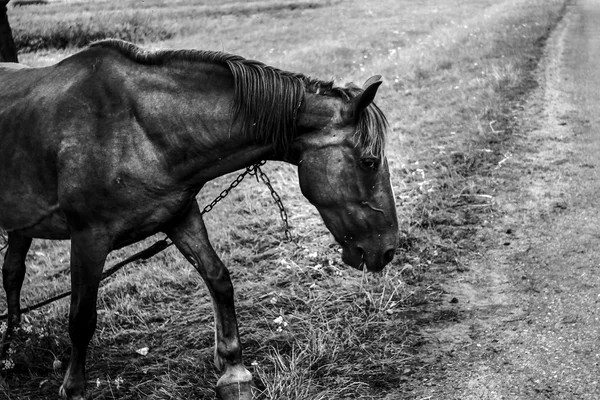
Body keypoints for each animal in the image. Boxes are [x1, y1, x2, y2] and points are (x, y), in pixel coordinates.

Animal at [0, 39, 398, 400]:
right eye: (369, 162)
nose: (388, 250)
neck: (137, 128)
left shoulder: (180, 216)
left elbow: (218, 279)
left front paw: (234, 370)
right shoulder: (88, 238)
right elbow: (81, 318)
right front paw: (74, 388)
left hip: (22, 225)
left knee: (13, 271)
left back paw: (14, 340)